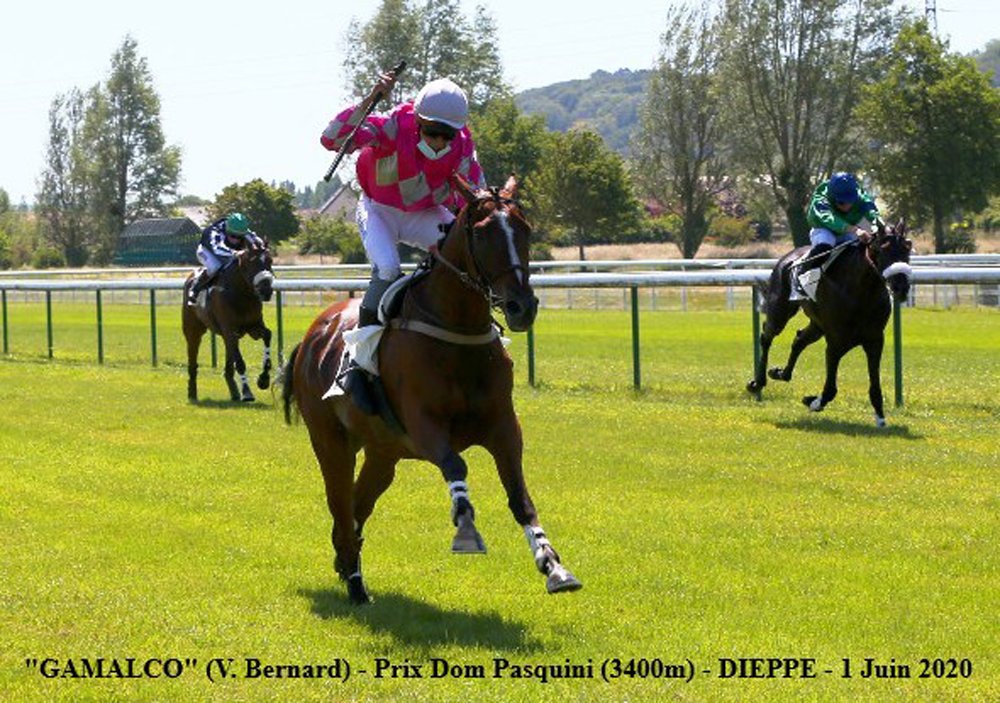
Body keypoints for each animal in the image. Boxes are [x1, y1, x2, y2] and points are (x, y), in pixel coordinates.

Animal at [182, 242, 275, 403]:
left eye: (270, 261)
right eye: (251, 262)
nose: (266, 290)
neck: (241, 293)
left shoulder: (253, 327)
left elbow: (267, 335)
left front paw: (263, 380)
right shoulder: (229, 330)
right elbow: (240, 363)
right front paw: (247, 392)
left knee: (228, 368)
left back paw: (234, 393)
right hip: (193, 331)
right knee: (193, 361)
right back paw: (192, 394)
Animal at [281, 175, 582, 604]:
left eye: (524, 228)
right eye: (483, 233)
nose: (522, 306)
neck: (458, 332)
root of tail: (312, 335)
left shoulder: (504, 427)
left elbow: (520, 496)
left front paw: (553, 565)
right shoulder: (424, 427)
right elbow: (457, 466)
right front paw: (467, 529)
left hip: (383, 453)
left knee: (356, 507)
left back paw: (346, 562)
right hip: (330, 440)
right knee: (339, 502)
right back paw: (355, 582)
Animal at [746, 220, 913, 426]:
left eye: (907, 247)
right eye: (884, 248)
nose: (901, 287)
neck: (861, 292)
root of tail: (787, 256)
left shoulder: (874, 339)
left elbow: (875, 384)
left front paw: (880, 416)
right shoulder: (835, 341)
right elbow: (831, 389)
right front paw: (814, 401)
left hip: (817, 325)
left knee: (799, 339)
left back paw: (780, 373)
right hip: (780, 310)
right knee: (766, 336)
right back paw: (757, 382)